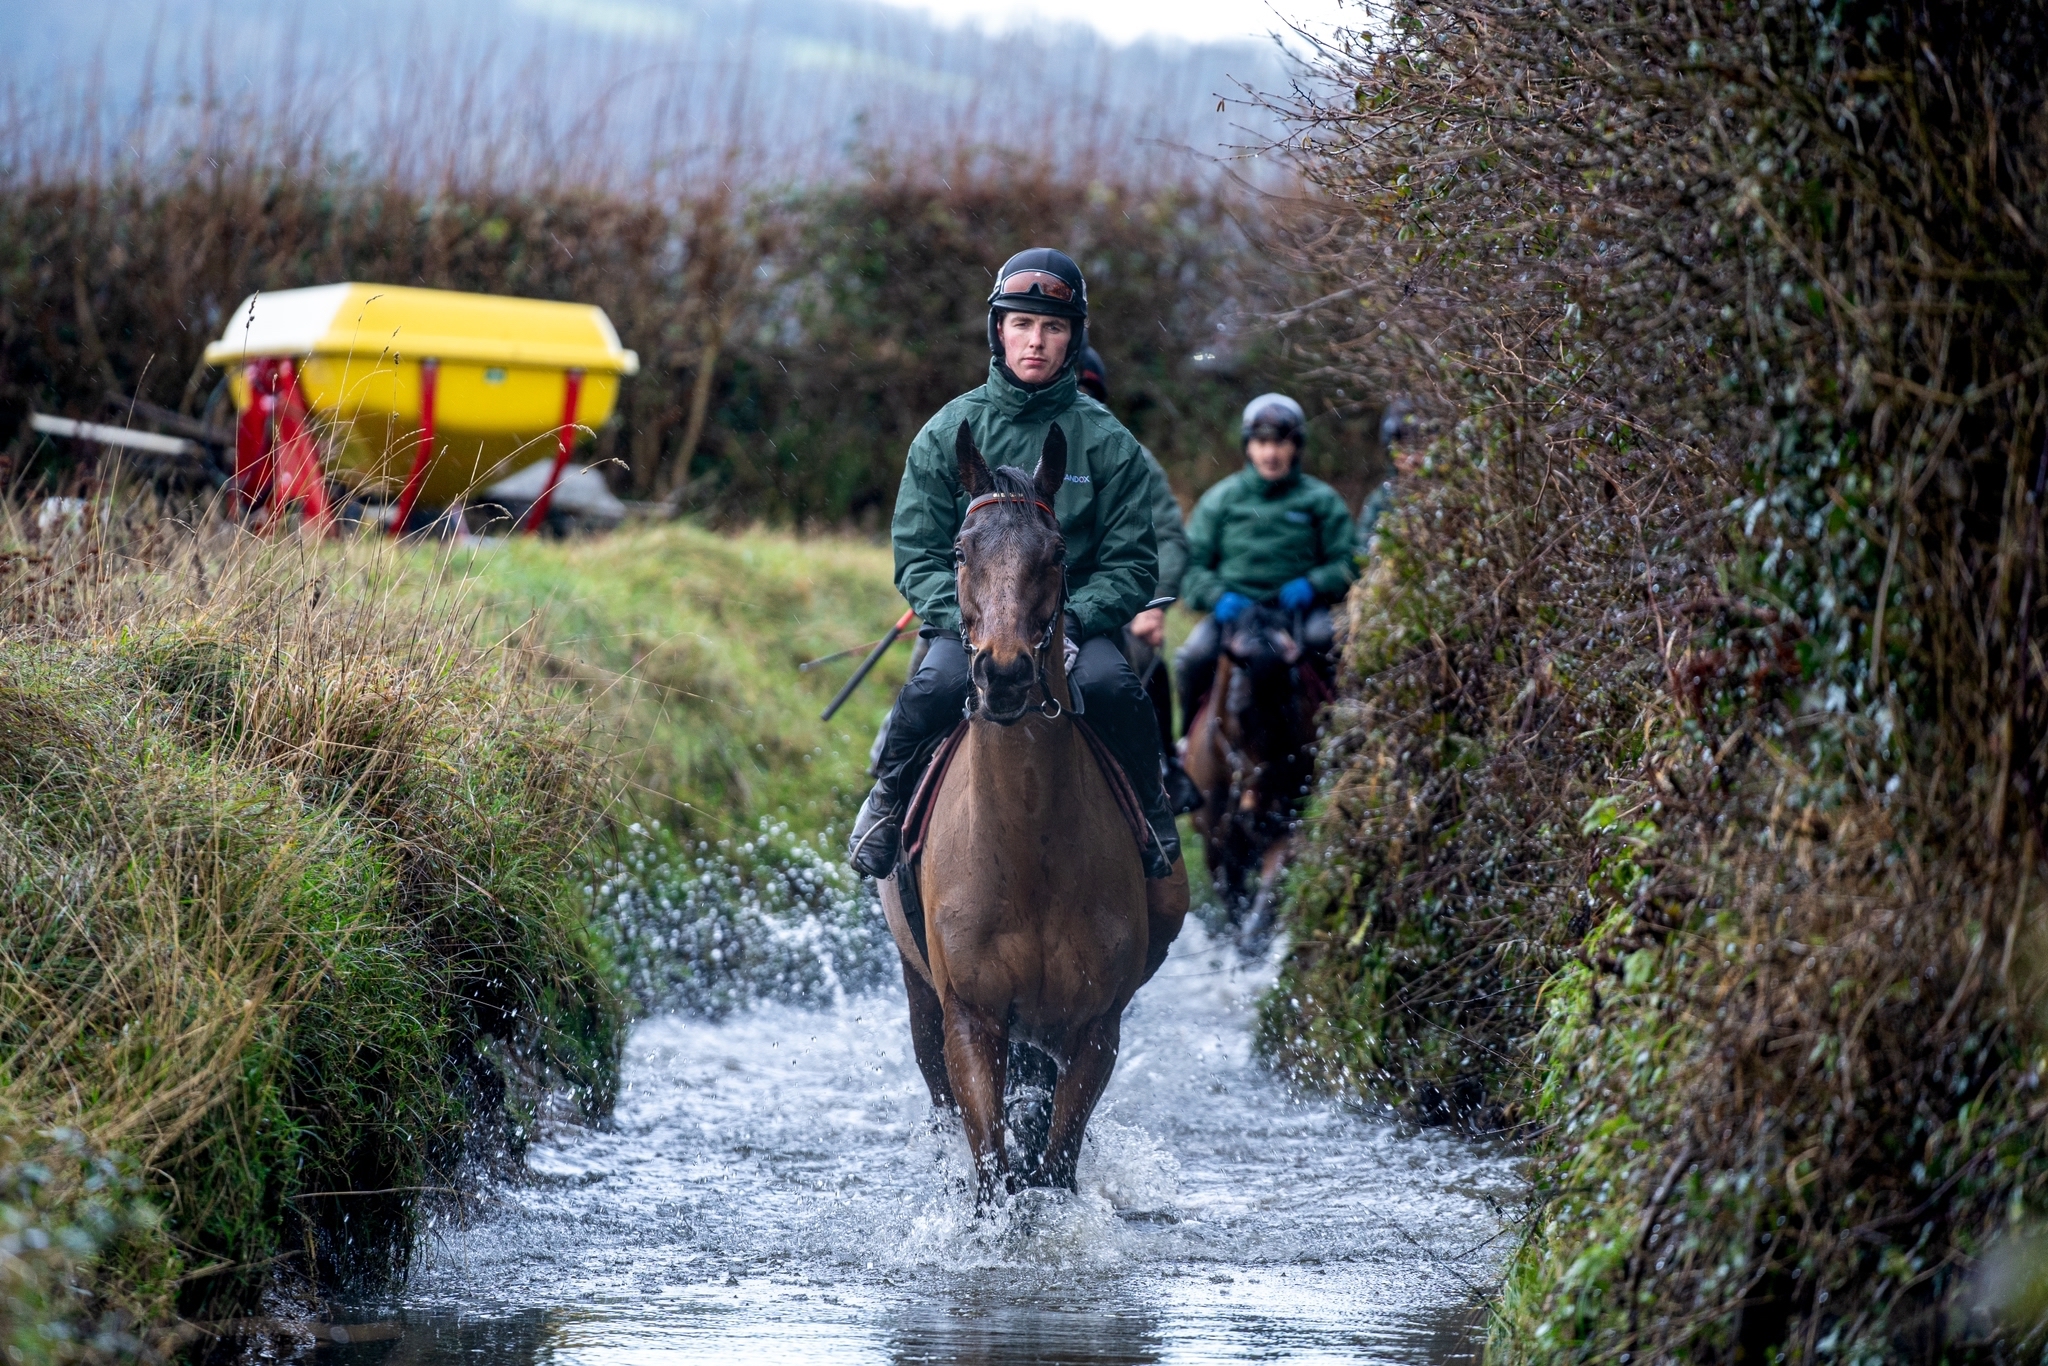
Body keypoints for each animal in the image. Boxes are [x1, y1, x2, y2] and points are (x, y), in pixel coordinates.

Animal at [876, 421, 1196, 1212]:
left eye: (1054, 555)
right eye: (962, 551)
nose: (1004, 672)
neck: (1028, 851)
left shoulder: (1094, 1031)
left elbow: (1052, 1167)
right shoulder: (971, 1020)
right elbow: (995, 1173)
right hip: (920, 998)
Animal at [1187, 606, 1327, 950]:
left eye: (1290, 712)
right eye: (1239, 712)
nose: (1260, 816)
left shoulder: (1288, 827)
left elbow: (1271, 886)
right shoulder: (1216, 848)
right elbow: (1232, 899)